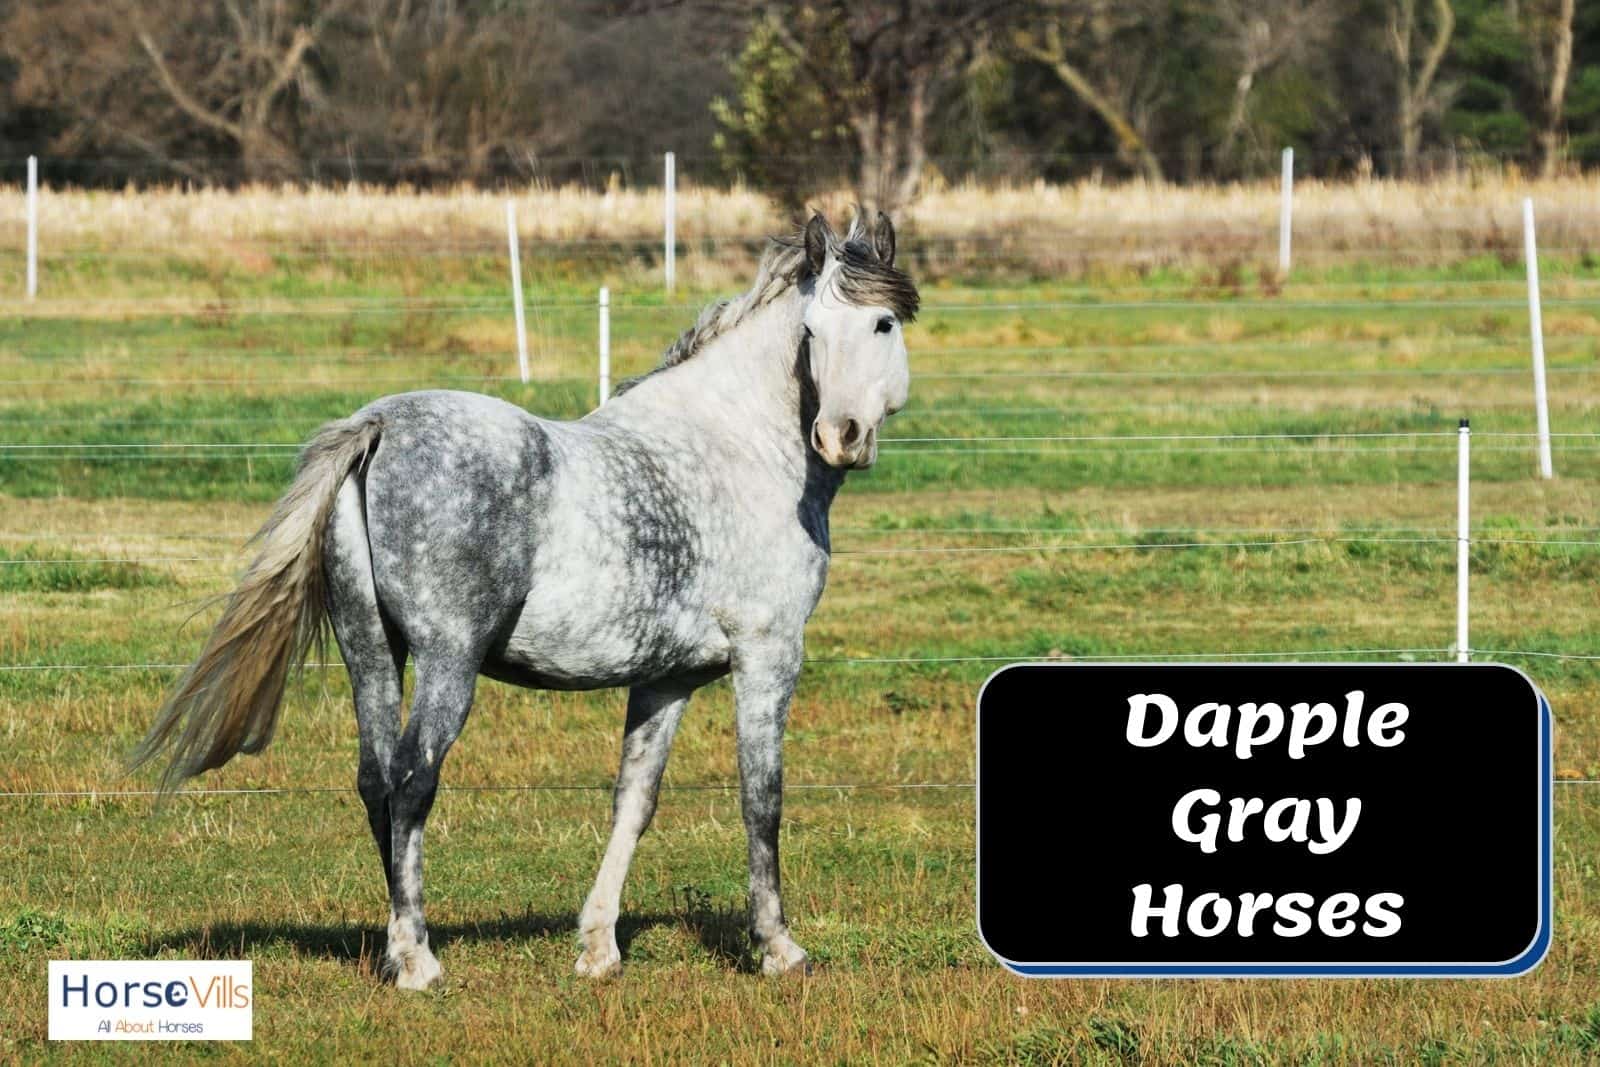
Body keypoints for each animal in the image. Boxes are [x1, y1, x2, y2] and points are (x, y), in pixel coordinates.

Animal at [130, 211, 919, 989]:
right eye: (812, 332)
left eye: (882, 324)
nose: (839, 436)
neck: (734, 446)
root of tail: (378, 428)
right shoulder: (768, 654)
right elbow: (763, 798)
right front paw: (778, 947)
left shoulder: (667, 679)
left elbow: (634, 800)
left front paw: (598, 948)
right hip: (448, 660)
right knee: (412, 780)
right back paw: (416, 958)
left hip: (372, 653)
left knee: (375, 782)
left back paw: (394, 947)